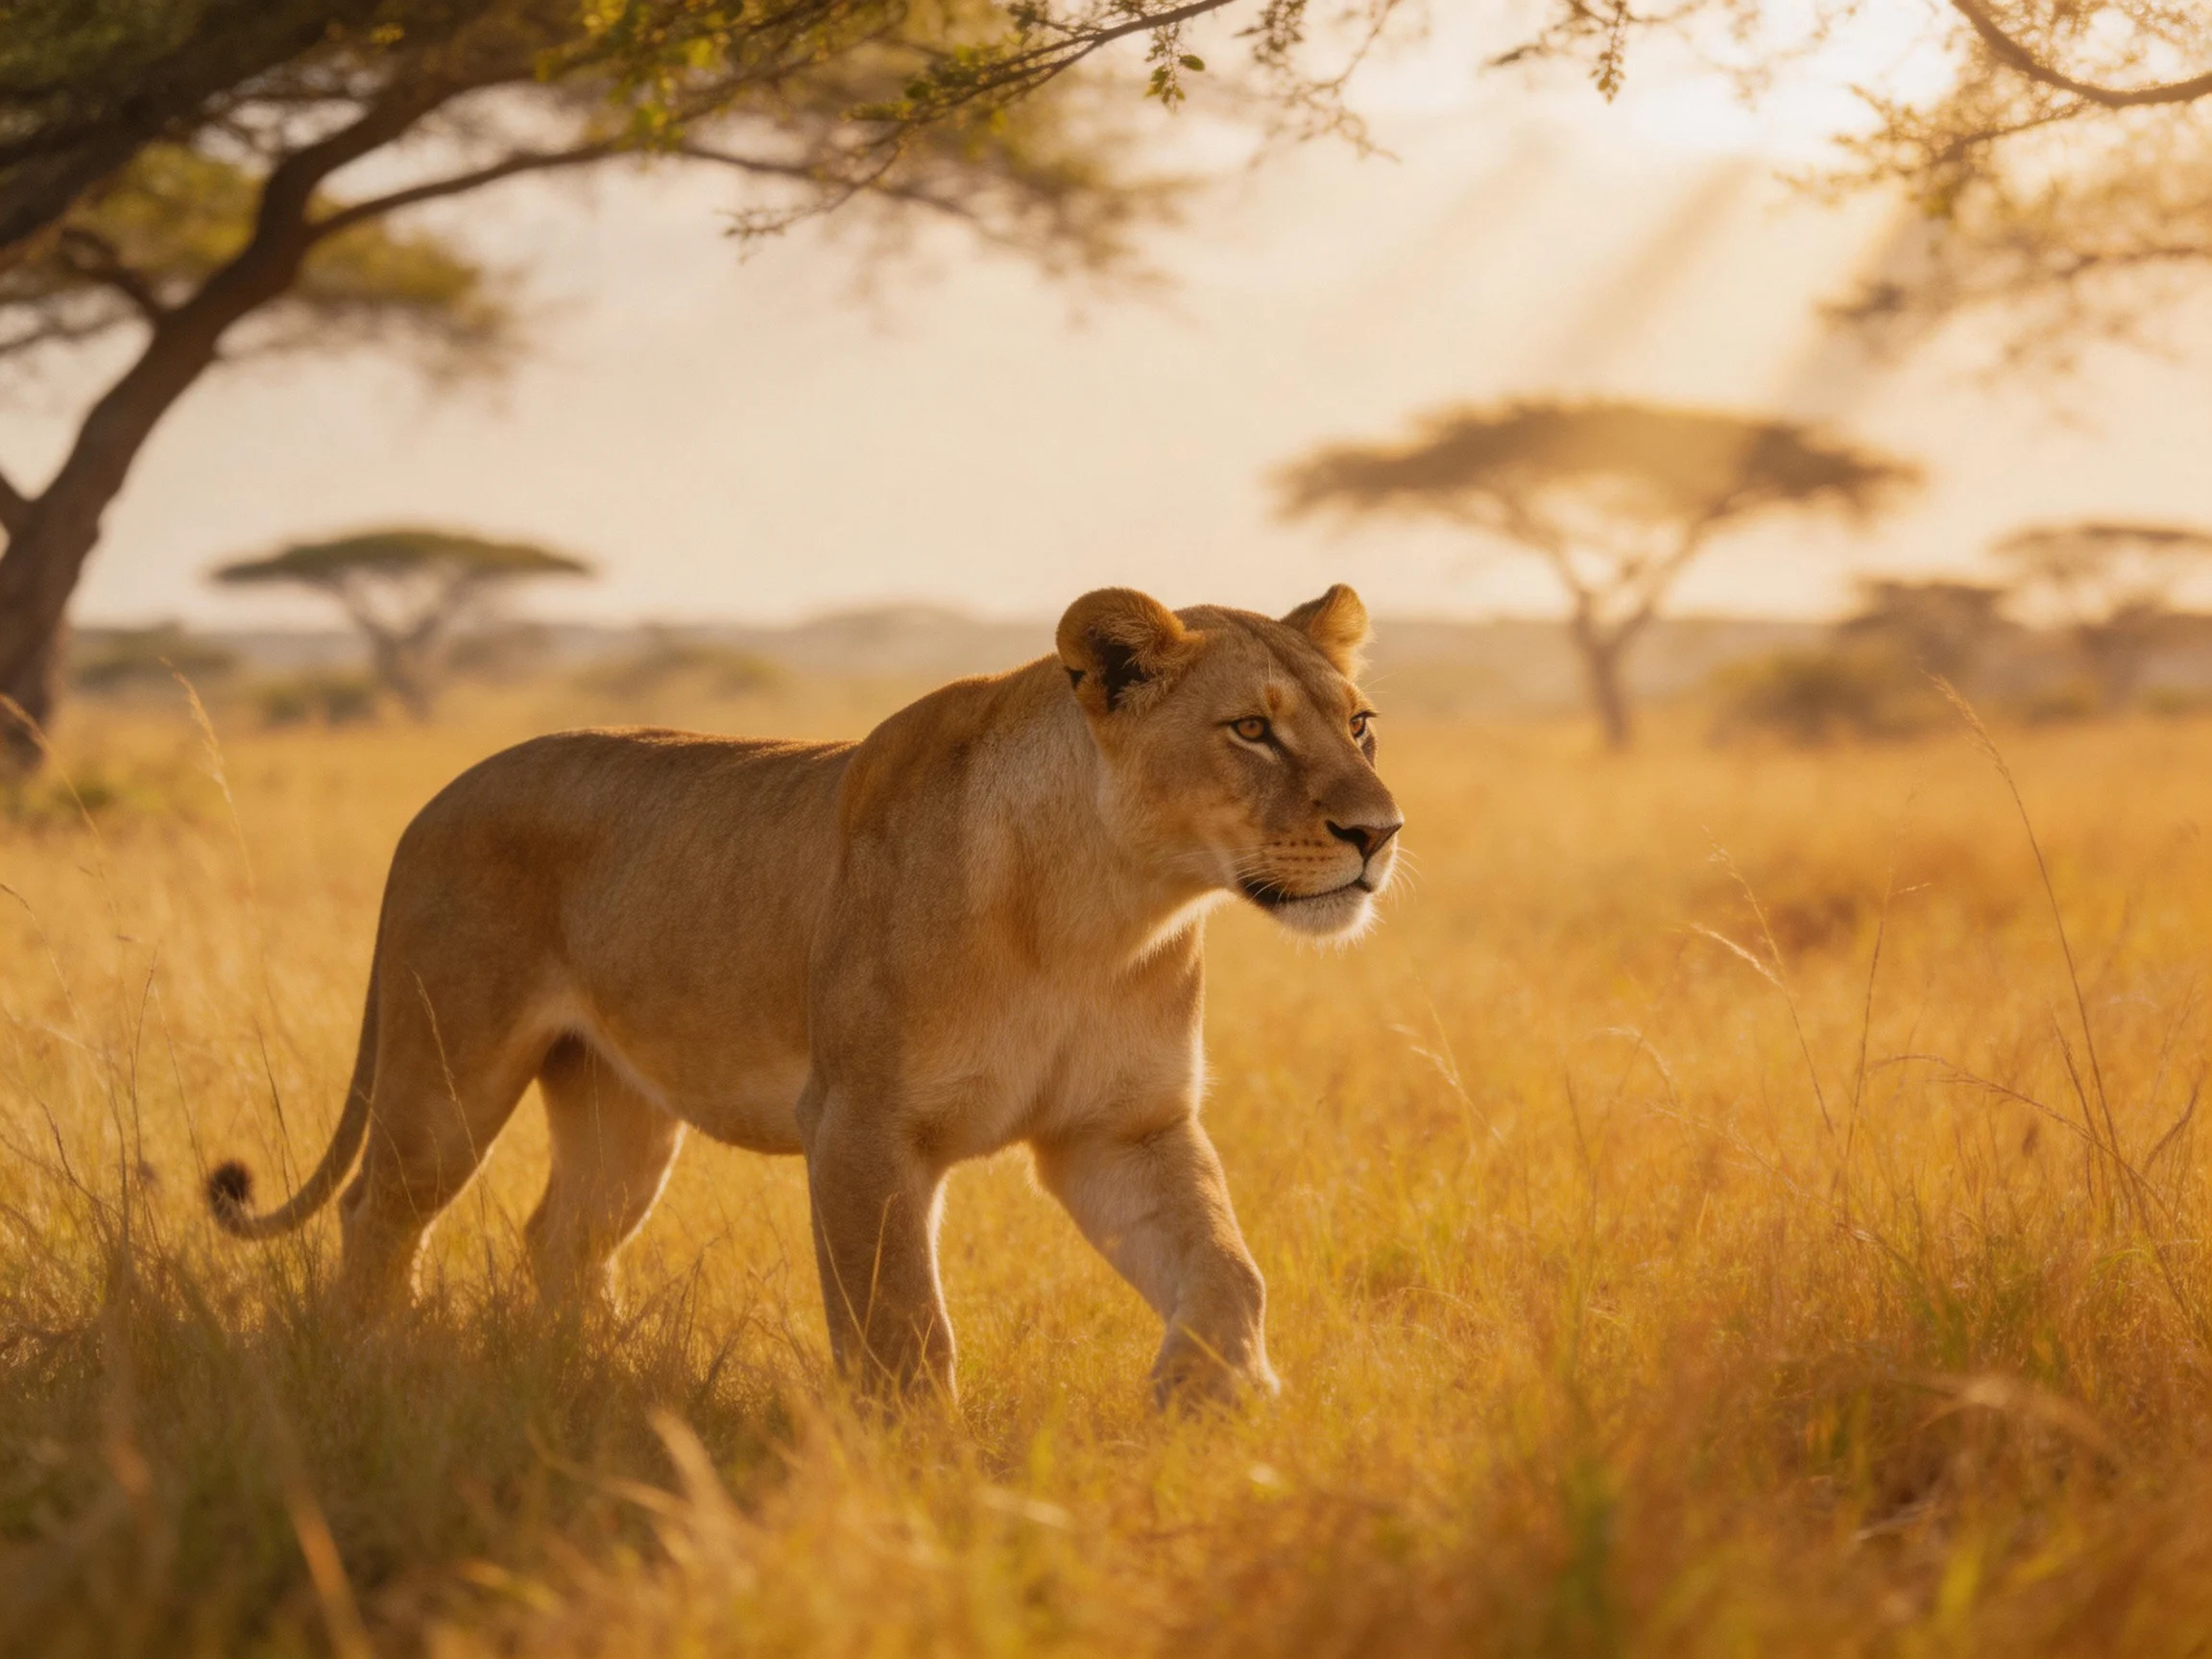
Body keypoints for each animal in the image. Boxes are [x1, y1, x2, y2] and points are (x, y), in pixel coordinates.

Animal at [207, 585, 1403, 1405]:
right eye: (1250, 730)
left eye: (1360, 726)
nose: (1379, 832)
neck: (1104, 911)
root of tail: (438, 795)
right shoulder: (861, 1125)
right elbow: (903, 1330)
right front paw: (925, 1485)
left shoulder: (1121, 1128)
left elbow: (1227, 1268)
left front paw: (1214, 1398)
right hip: (447, 1070)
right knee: (380, 1209)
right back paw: (369, 1362)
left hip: (618, 1107)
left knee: (561, 1235)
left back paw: (595, 1373)